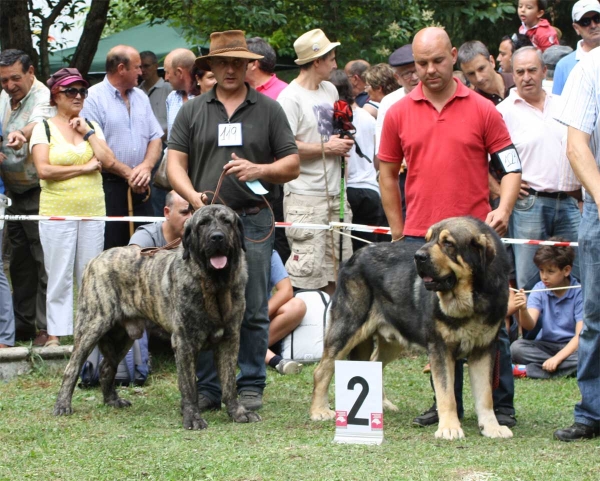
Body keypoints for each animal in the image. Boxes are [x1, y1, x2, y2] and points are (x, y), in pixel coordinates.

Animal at [52, 204, 258, 430]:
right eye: (203, 224)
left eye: (227, 222)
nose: (217, 237)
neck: (214, 286)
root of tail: (96, 258)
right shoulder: (184, 342)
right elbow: (189, 386)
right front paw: (193, 417)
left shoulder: (230, 339)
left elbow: (229, 382)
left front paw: (238, 412)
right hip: (92, 326)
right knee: (72, 367)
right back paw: (63, 405)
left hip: (123, 337)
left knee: (107, 367)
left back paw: (113, 400)